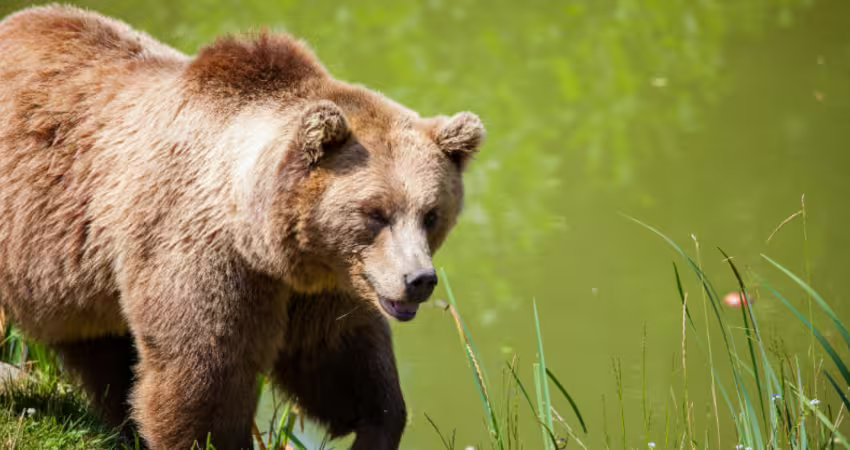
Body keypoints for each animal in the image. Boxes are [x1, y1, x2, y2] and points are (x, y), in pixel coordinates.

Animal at [0, 5, 485, 450]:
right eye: (375, 213)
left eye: (431, 214)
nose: (418, 279)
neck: (263, 238)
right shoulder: (200, 250)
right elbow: (204, 372)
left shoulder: (322, 285)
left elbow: (338, 357)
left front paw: (377, 425)